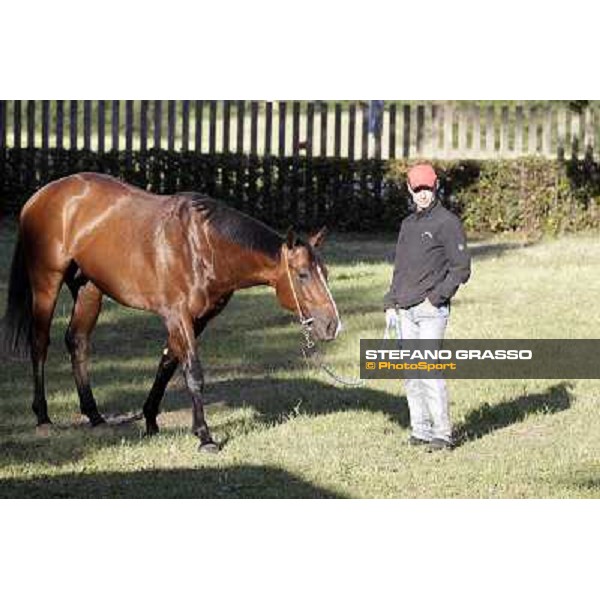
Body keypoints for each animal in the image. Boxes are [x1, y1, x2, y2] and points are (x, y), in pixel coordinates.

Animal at [0, 172, 340, 450]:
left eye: (325, 272)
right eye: (302, 275)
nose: (331, 325)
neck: (202, 245)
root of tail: (41, 195)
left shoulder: (198, 319)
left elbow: (168, 363)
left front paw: (150, 420)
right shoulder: (178, 315)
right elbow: (193, 373)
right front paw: (204, 436)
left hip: (89, 288)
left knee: (77, 341)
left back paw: (95, 416)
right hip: (46, 282)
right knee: (40, 343)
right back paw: (43, 418)